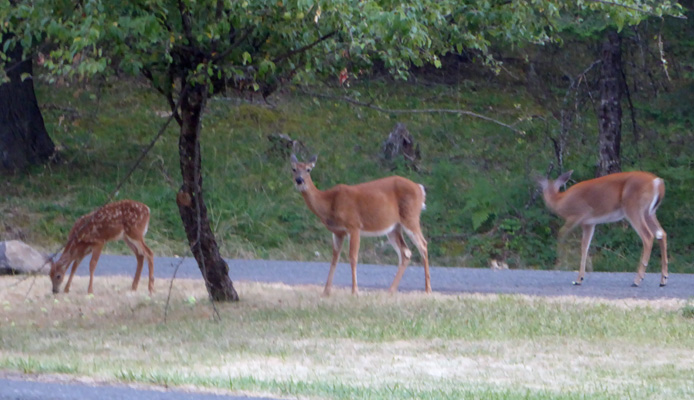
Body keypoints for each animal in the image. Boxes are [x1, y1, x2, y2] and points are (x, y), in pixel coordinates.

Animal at [288, 155, 430, 296]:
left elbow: (353, 257)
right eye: (294, 169)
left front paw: (355, 291)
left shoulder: (354, 225)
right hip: (394, 228)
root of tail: (420, 189)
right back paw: (391, 290)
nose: (299, 180)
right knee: (406, 252)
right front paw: (326, 291)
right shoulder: (338, 232)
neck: (329, 204)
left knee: (423, 244)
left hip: (410, 218)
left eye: (308, 169)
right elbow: (334, 258)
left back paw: (427, 289)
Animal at [540, 169, 668, 288]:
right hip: (649, 212)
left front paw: (561, 266)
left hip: (634, 208)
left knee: (648, 236)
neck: (561, 200)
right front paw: (581, 278)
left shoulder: (578, 215)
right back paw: (663, 280)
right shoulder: (589, 223)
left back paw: (637, 280)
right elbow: (585, 246)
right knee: (661, 233)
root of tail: (657, 182)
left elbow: (562, 234)